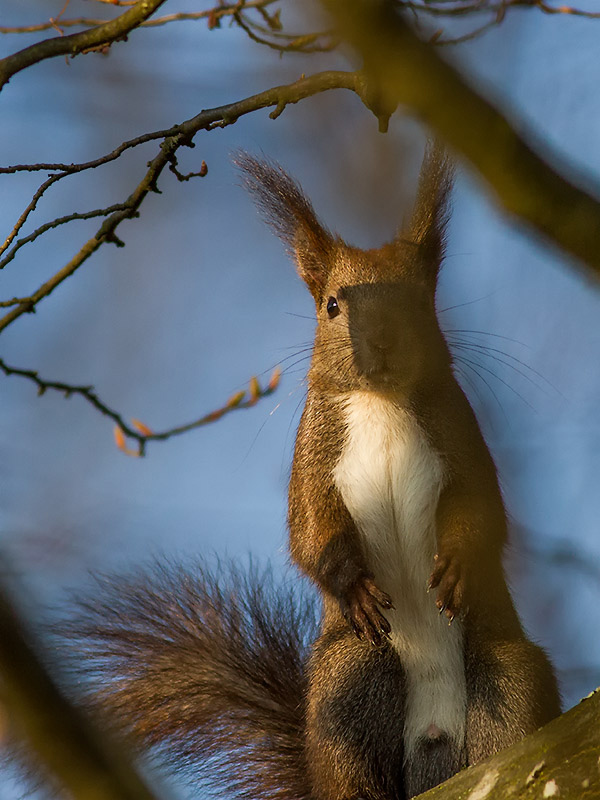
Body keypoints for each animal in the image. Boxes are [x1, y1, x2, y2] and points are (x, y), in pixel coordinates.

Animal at [70, 144, 564, 800]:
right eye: (332, 305)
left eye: (421, 299)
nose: (380, 341)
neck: (381, 402)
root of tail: (430, 757)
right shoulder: (314, 459)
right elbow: (309, 530)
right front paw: (348, 582)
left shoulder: (462, 442)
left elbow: (481, 511)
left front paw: (457, 564)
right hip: (347, 682)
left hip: (506, 677)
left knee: (506, 724)